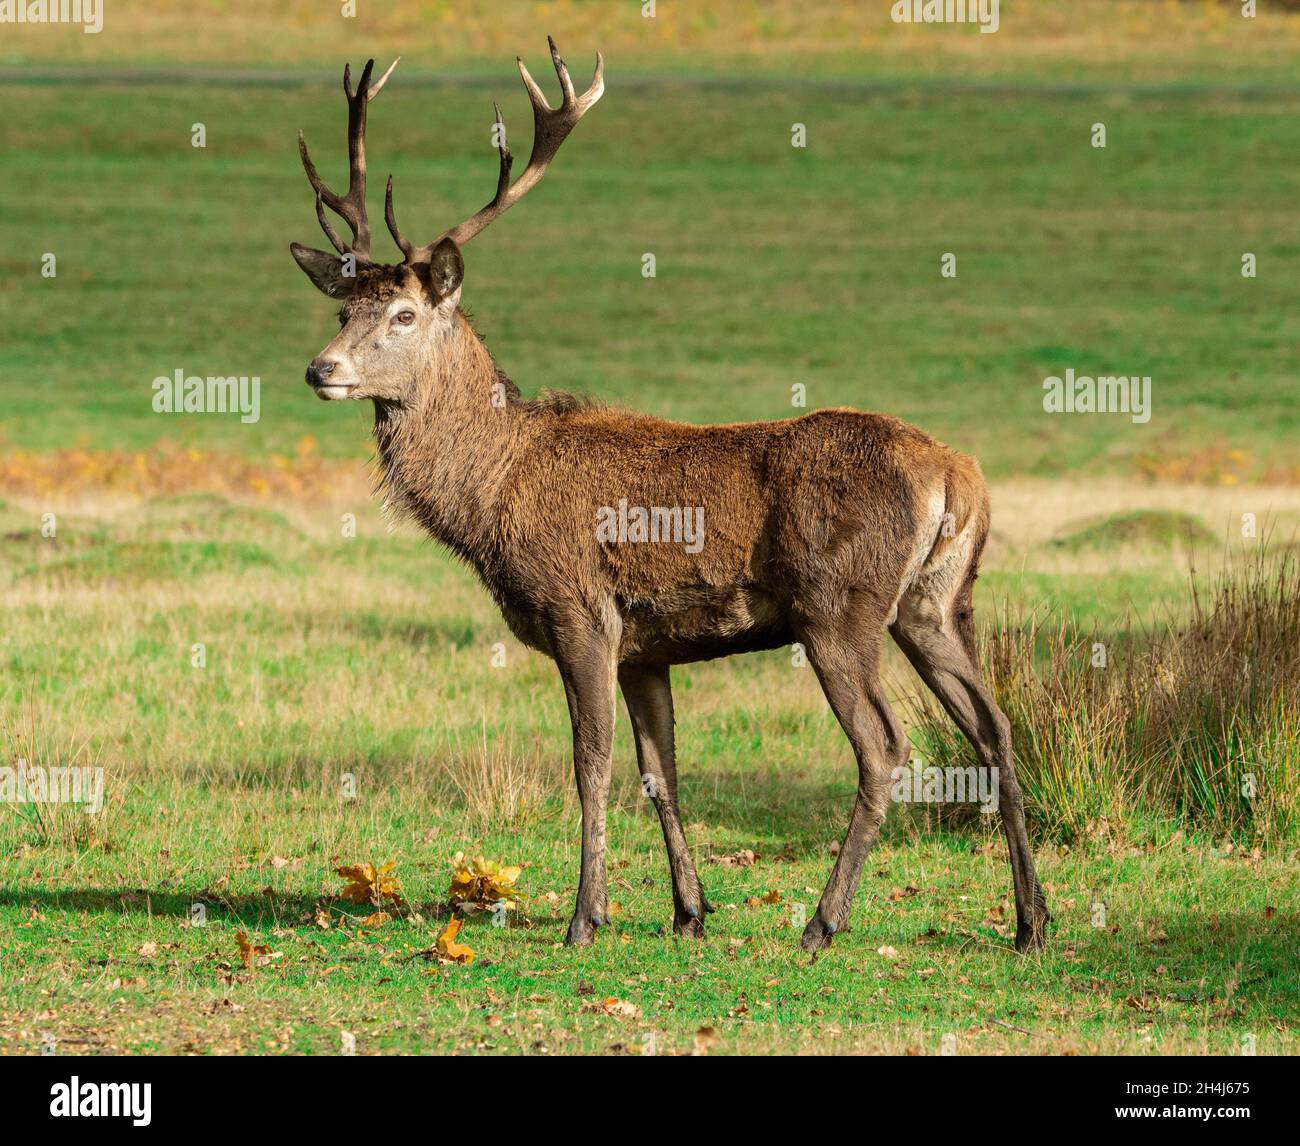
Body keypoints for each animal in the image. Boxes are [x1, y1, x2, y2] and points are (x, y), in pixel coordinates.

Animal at [289, 40, 1050, 951]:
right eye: (343, 310)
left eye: (402, 314)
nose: (320, 368)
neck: (494, 494)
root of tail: (956, 474)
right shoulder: (646, 646)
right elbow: (662, 773)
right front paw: (689, 911)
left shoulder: (581, 608)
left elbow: (591, 766)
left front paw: (586, 917)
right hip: (936, 602)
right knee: (995, 728)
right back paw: (1032, 921)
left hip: (839, 605)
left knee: (887, 746)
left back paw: (823, 922)